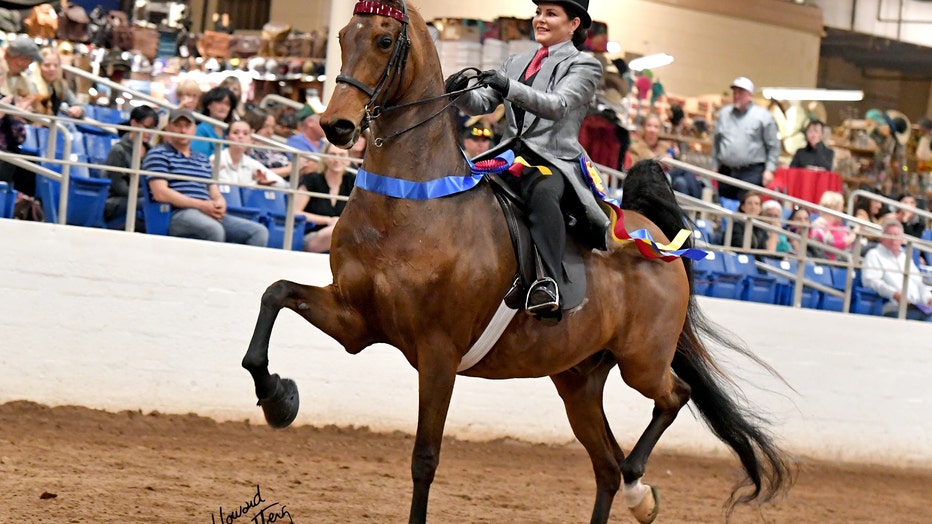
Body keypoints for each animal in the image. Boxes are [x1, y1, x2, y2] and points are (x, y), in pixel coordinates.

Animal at [242, 2, 792, 520]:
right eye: (341, 36)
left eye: (382, 40)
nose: (335, 125)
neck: (412, 201)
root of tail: (655, 238)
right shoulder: (356, 320)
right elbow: (274, 295)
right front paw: (278, 398)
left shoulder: (438, 353)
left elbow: (425, 459)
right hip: (578, 381)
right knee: (607, 467)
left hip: (642, 360)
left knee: (672, 400)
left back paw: (642, 488)